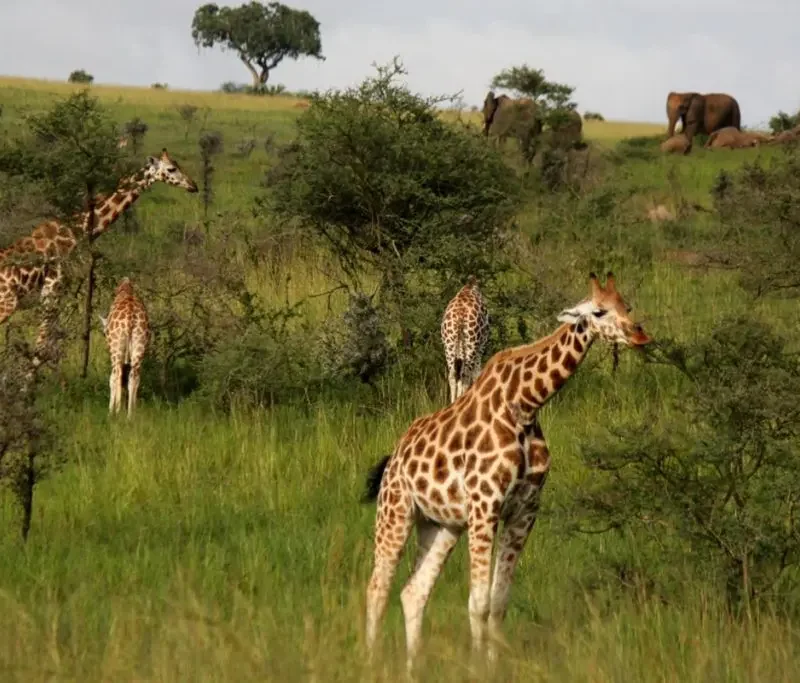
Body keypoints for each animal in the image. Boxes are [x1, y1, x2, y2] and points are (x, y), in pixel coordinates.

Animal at [0, 148, 196, 368]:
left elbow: (50, 346)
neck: (73, 232)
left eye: (178, 165)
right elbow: (42, 347)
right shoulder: (52, 287)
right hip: (7, 303)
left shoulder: (56, 291)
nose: (193, 186)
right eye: (171, 169)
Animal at [99, 277, 150, 417]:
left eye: (104, 333)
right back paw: (131, 415)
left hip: (116, 348)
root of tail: (130, 316)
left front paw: (113, 410)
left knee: (116, 375)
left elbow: (114, 378)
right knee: (134, 377)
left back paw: (114, 412)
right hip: (139, 344)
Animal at [440, 275, 490, 404]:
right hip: (471, 344)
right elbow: (477, 373)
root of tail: (460, 314)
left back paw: (454, 403)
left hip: (449, 344)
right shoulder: (481, 346)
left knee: (453, 375)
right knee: (466, 374)